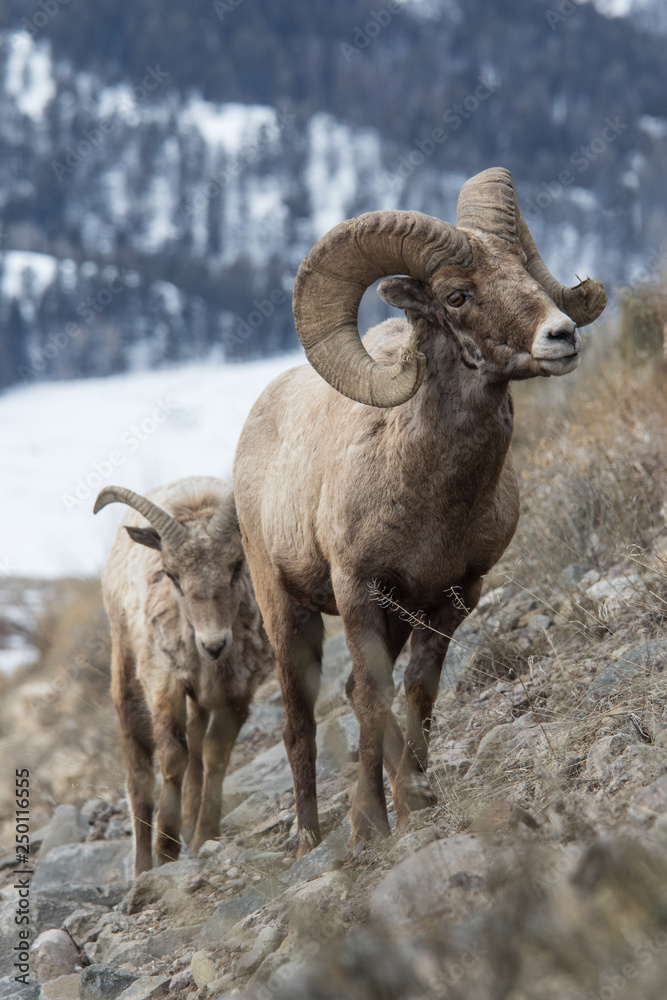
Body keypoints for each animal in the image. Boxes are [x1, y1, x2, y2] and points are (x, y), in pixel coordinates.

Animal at [94, 476, 274, 875]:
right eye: (172, 575)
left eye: (236, 565)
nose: (214, 644)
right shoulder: (164, 679)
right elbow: (173, 757)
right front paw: (166, 847)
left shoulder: (238, 688)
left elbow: (215, 754)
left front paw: (205, 833)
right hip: (126, 671)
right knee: (139, 775)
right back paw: (143, 867)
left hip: (202, 695)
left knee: (195, 743)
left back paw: (190, 821)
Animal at [233, 167, 607, 857]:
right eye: (457, 296)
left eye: (522, 267)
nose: (561, 336)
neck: (431, 499)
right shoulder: (357, 591)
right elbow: (375, 695)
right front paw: (370, 827)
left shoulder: (453, 594)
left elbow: (416, 690)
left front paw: (415, 803)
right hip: (286, 611)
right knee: (301, 717)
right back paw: (309, 837)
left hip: (393, 617)